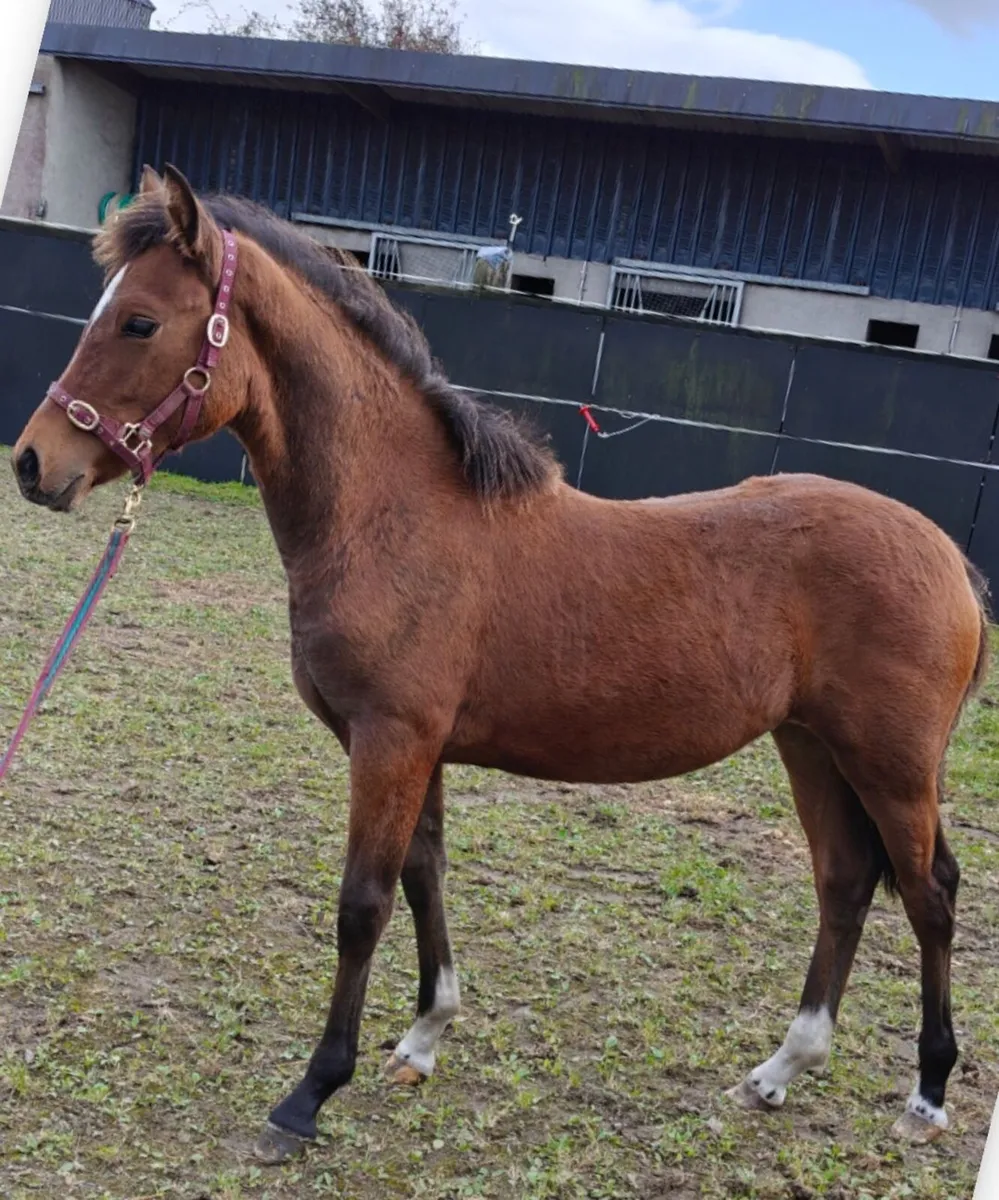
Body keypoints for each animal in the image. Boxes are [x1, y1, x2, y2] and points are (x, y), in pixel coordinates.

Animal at [9, 165, 989, 1165]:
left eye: (139, 322)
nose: (34, 462)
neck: (396, 514)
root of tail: (949, 559)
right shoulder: (415, 748)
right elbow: (423, 874)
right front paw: (421, 1039)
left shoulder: (391, 741)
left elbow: (363, 903)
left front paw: (310, 1093)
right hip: (810, 746)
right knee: (845, 881)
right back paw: (780, 1070)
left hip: (891, 763)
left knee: (928, 892)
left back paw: (927, 1092)